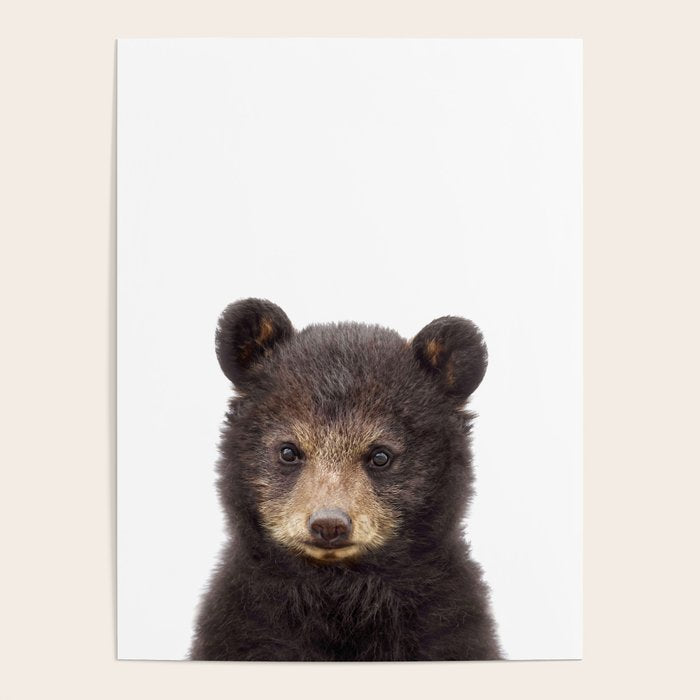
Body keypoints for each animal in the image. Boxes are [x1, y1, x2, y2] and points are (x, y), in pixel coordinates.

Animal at [189, 298, 502, 661]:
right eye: (288, 451)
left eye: (380, 455)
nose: (329, 524)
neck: (341, 593)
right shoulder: (244, 623)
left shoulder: (447, 624)